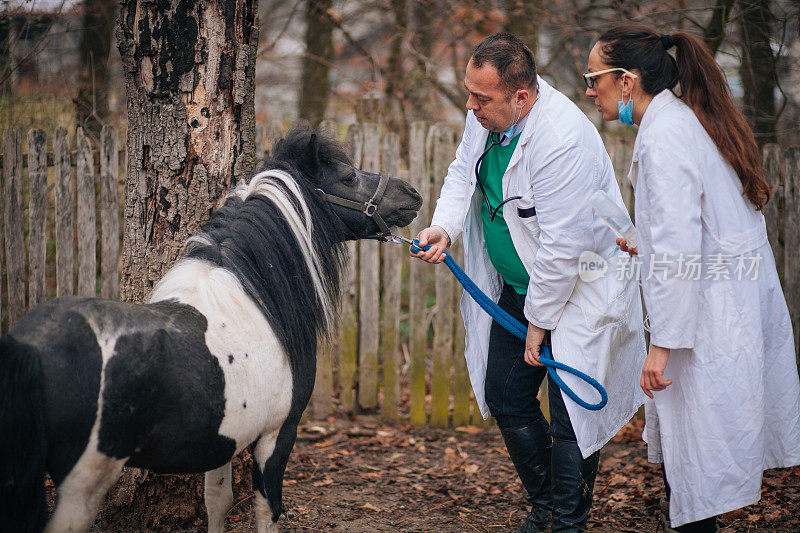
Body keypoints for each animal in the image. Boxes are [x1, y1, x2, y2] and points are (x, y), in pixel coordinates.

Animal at [0, 128, 422, 532]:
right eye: (349, 177)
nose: (412, 194)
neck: (251, 300)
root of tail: (29, 351)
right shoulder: (277, 435)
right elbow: (267, 510)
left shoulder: (224, 439)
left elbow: (216, 501)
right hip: (80, 487)